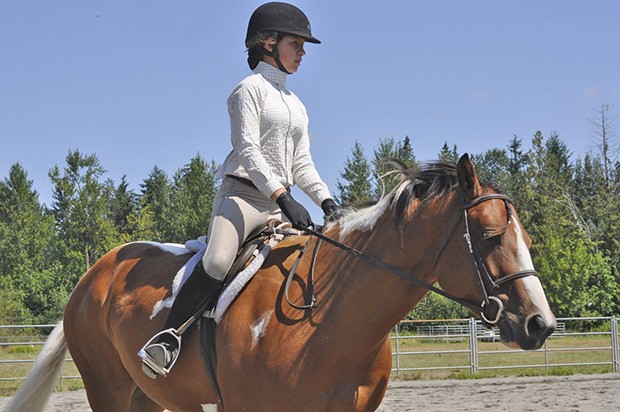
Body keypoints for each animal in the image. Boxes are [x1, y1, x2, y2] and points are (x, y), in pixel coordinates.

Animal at [6, 155, 556, 412]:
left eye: (528, 238)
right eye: (489, 236)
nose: (540, 324)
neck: (330, 323)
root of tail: (93, 275)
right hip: (109, 389)